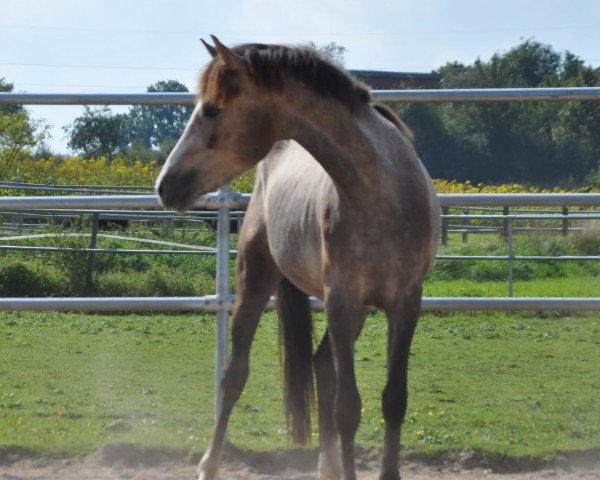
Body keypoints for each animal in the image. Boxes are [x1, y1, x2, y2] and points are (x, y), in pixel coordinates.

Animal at [157, 36, 438, 480]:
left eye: (213, 109)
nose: (165, 185)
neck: (383, 193)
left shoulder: (406, 302)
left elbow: (393, 399)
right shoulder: (341, 300)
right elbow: (348, 408)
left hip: (356, 310)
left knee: (321, 366)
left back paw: (327, 468)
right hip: (256, 280)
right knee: (234, 375)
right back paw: (209, 464)